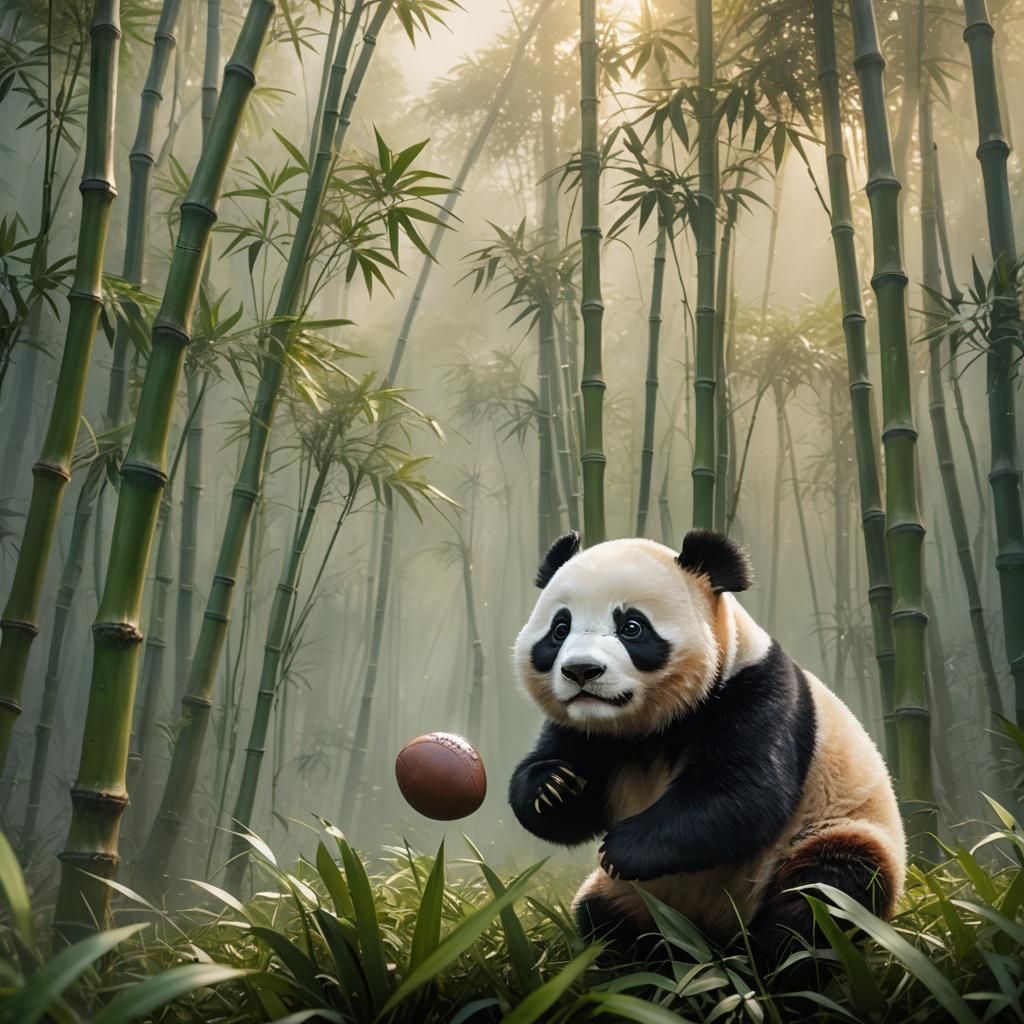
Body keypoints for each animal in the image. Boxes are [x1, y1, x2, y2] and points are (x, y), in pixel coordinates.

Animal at [508, 528, 906, 965]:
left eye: (631, 627)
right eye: (560, 629)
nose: (581, 670)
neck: (652, 727)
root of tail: (715, 932)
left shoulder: (754, 691)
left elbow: (741, 795)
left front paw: (623, 847)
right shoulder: (589, 731)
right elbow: (567, 807)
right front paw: (552, 786)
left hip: (831, 832)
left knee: (826, 892)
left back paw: (779, 956)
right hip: (632, 896)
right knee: (603, 916)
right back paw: (646, 958)